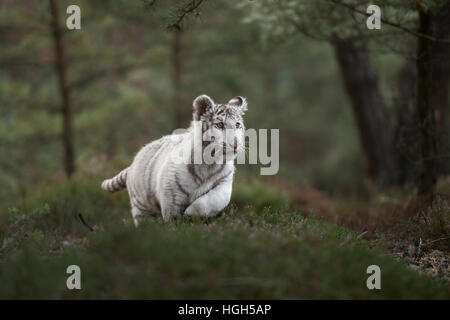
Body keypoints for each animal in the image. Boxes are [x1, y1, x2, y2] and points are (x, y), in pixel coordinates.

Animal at [100, 94, 248, 226]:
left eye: (238, 125)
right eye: (219, 125)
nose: (236, 144)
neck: (210, 163)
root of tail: (132, 165)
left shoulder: (224, 183)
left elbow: (213, 200)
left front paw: (190, 213)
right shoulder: (171, 192)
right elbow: (172, 217)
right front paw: (177, 228)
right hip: (141, 206)